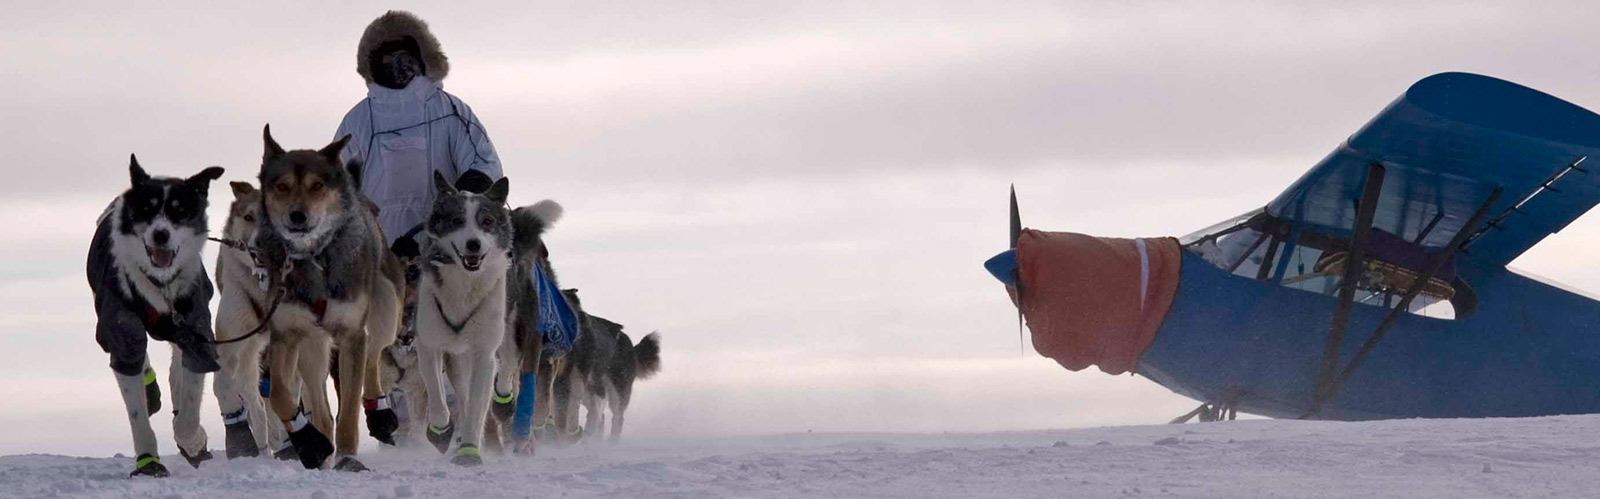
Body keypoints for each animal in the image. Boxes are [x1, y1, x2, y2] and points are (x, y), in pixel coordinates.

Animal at [88, 155, 227, 476]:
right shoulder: (120, 323)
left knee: (177, 365)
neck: (160, 286)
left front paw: (193, 441)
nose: (160, 234)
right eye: (147, 209)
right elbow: (136, 409)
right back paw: (150, 387)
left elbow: (189, 403)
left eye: (179, 211)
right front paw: (148, 460)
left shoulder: (196, 325)